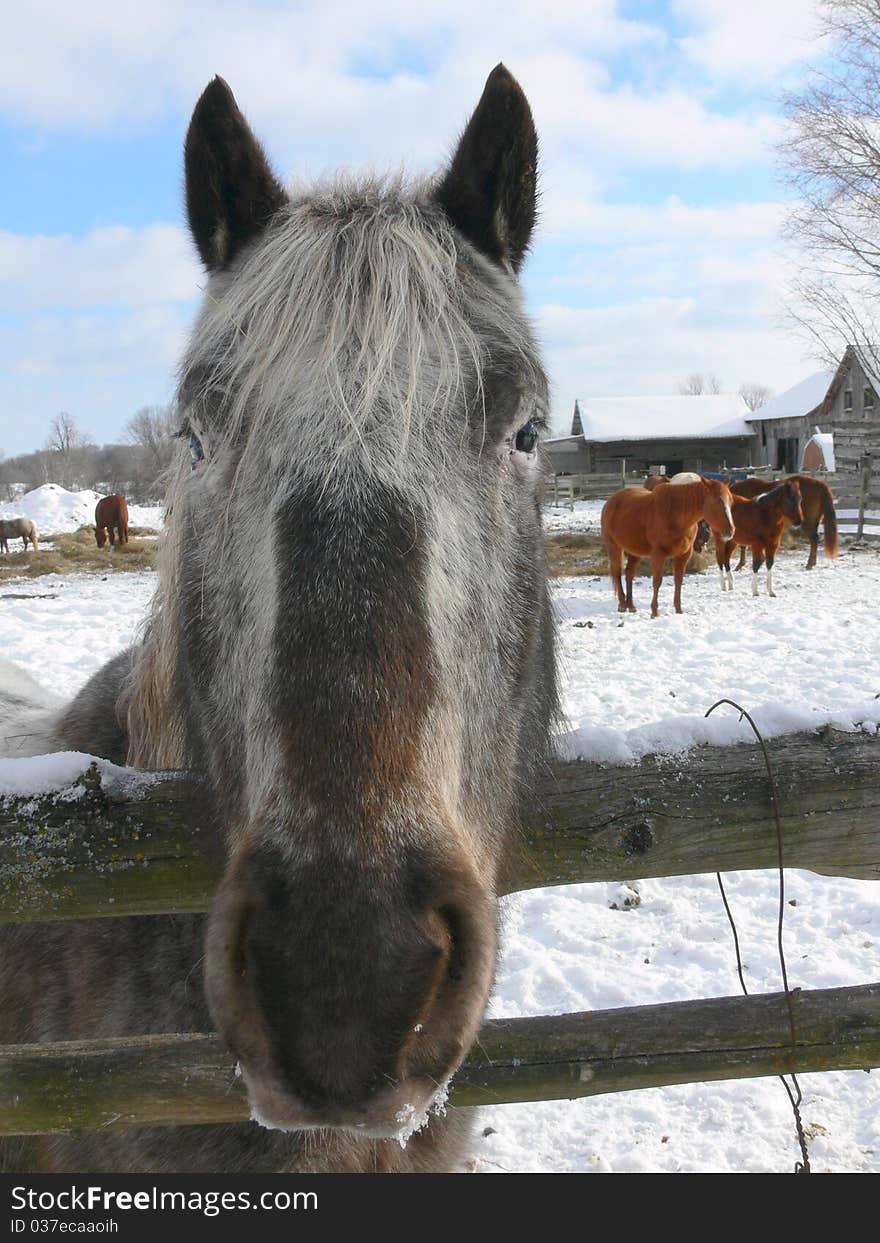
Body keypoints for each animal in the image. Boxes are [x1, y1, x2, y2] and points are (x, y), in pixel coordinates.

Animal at [599, 472, 735, 614]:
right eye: (716, 502)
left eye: (731, 501)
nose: (730, 531)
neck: (674, 515)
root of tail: (612, 500)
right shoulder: (658, 555)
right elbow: (657, 581)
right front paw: (654, 612)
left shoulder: (683, 555)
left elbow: (678, 580)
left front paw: (679, 610)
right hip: (614, 547)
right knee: (617, 572)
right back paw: (622, 604)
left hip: (635, 551)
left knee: (629, 573)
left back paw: (630, 605)